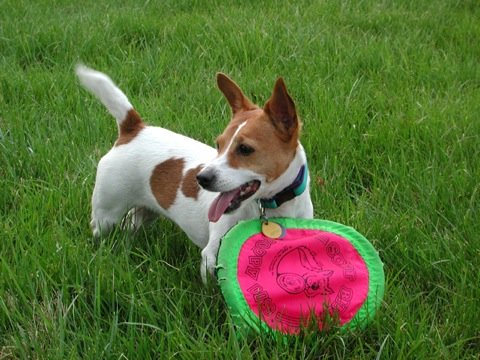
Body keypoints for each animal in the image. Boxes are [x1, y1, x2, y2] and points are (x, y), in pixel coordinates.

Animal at [76, 66, 314, 282]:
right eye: (218, 144)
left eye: (245, 149)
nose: (201, 178)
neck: (271, 207)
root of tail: (134, 129)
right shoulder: (211, 256)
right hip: (107, 212)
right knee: (101, 229)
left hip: (145, 212)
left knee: (130, 225)